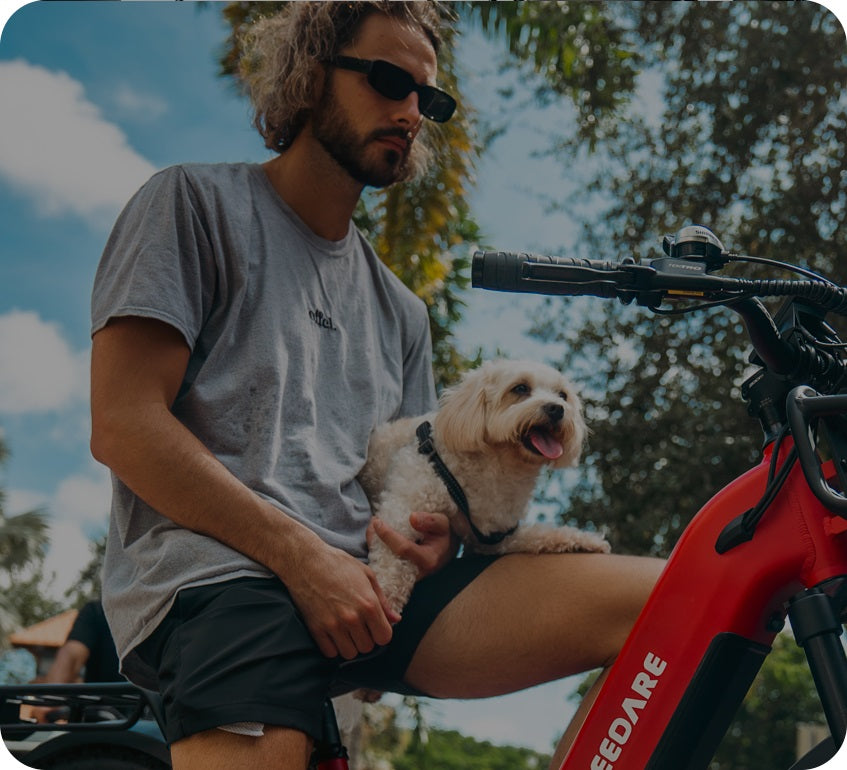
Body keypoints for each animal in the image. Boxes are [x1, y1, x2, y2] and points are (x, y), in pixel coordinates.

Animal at [360, 356, 608, 616]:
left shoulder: (493, 536)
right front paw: (383, 600)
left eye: (562, 395)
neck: (497, 465)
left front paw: (585, 540)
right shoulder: (404, 507)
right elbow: (391, 556)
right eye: (520, 388)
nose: (557, 409)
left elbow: (538, 534)